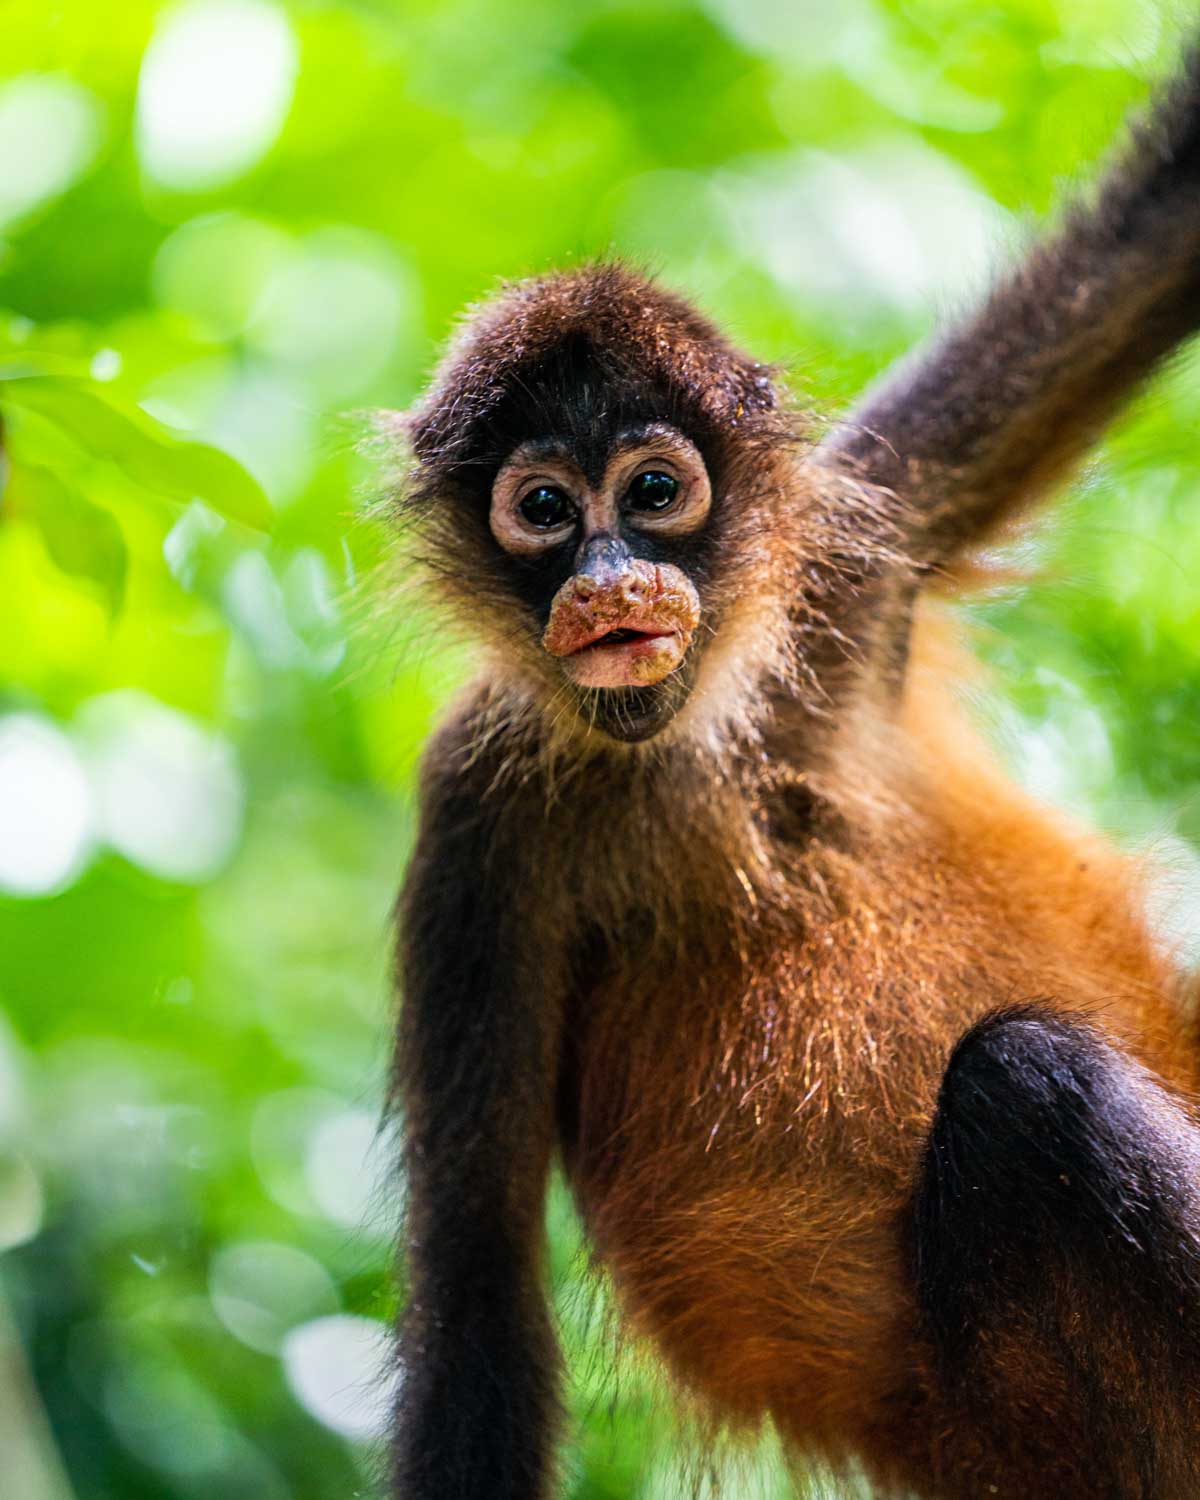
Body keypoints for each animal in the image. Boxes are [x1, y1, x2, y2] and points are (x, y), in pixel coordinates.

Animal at [388, 36, 1200, 1500]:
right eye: (544, 510)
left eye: (654, 492)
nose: (609, 577)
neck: (698, 734)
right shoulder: (479, 811)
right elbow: (479, 1314)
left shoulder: (844, 558)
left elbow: (1156, 232)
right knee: (1031, 1089)